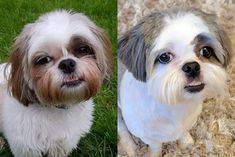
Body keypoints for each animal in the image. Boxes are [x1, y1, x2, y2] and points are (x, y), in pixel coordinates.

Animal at [0, 9, 113, 157]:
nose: (67, 64)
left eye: (83, 49)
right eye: (43, 59)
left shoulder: (61, 146)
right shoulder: (26, 147)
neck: (58, 106)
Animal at [118, 7, 232, 157]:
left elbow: (183, 132)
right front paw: (153, 154)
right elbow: (156, 146)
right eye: (164, 57)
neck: (175, 105)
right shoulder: (148, 135)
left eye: (206, 51)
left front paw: (186, 142)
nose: (192, 67)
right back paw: (130, 147)